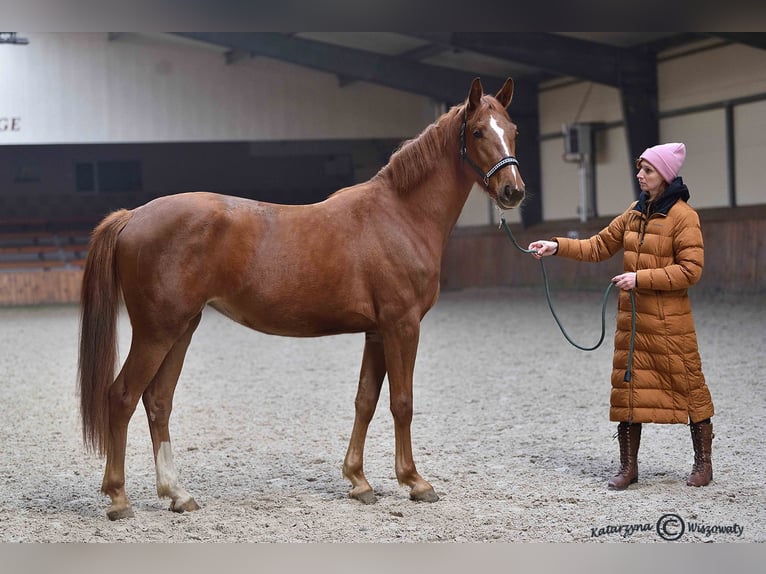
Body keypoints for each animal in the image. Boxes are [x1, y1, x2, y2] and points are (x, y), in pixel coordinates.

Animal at [78, 77, 525, 520]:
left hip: (181, 328)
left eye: (514, 131)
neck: (400, 215)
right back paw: (119, 498)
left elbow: (365, 400)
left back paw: (178, 494)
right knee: (121, 397)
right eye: (478, 132)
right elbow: (402, 402)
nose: (513, 191)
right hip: (157, 332)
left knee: (158, 401)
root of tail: (132, 216)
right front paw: (415, 482)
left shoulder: (377, 332)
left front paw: (359, 481)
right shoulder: (402, 325)